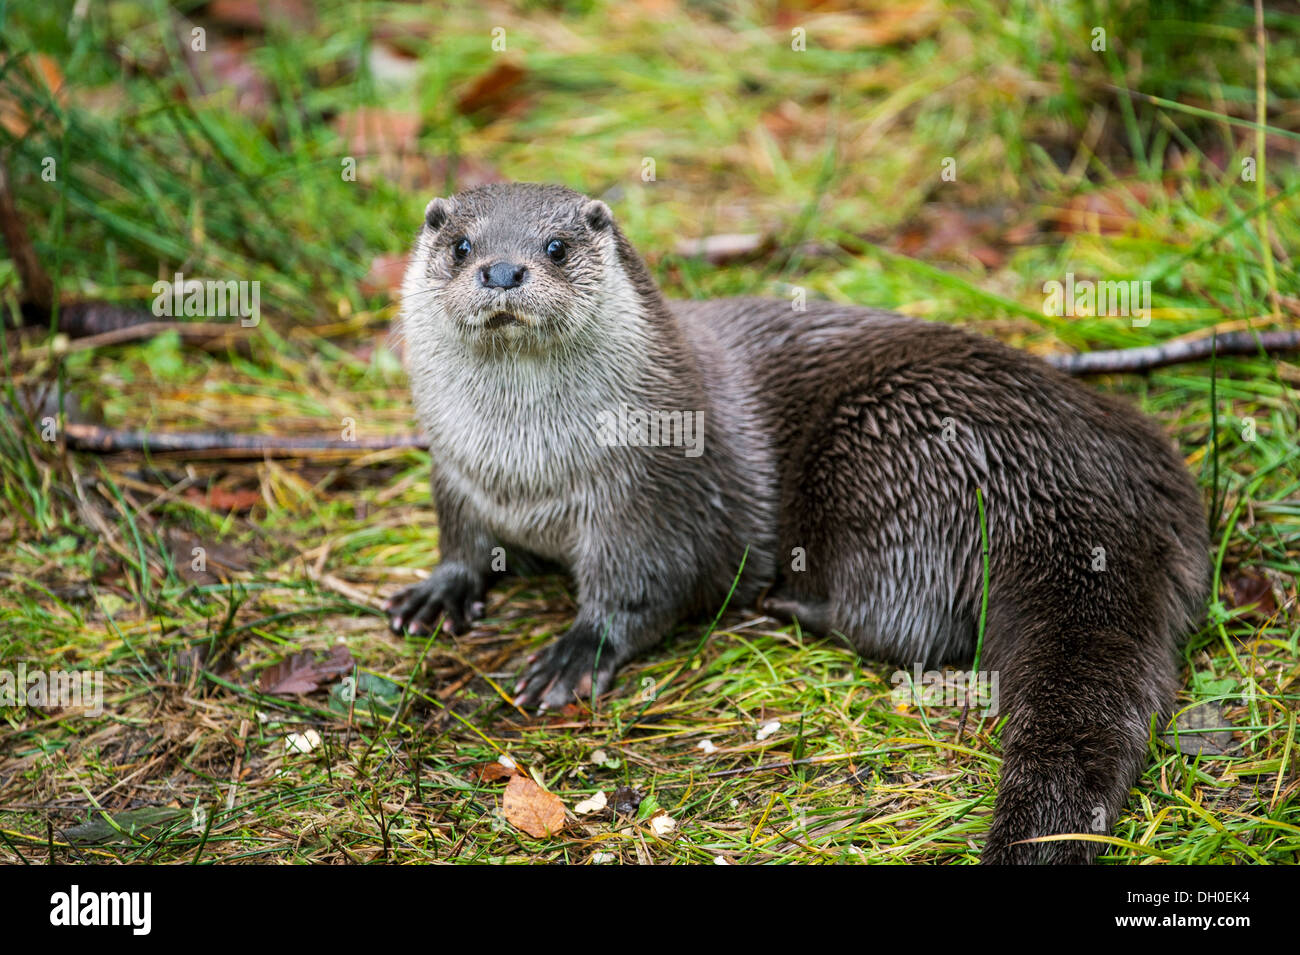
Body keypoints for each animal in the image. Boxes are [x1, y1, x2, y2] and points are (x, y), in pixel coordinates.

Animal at [382, 180, 1206, 867]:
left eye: (555, 246)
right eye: (461, 246)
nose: (501, 272)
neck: (528, 471)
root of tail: (1073, 478)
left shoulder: (653, 493)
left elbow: (648, 586)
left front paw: (578, 651)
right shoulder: (453, 469)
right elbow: (461, 539)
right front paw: (439, 591)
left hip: (889, 457)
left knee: (904, 623)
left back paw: (789, 605)